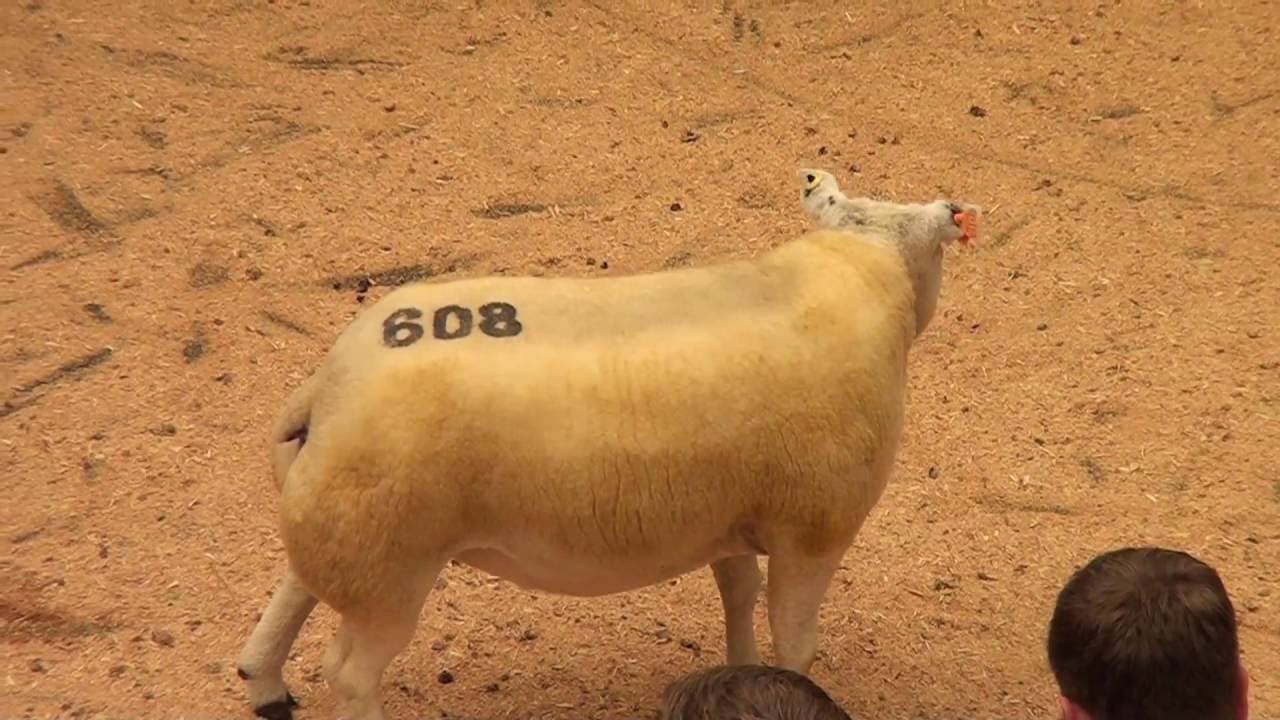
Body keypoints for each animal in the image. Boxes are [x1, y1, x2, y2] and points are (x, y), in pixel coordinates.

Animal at [235, 176, 980, 720]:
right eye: (938, 245)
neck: (863, 273)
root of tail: (328, 388)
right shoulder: (813, 532)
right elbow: (793, 642)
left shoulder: (729, 516)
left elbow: (738, 595)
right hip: (390, 565)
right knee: (350, 672)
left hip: (343, 520)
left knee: (298, 584)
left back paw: (264, 681)